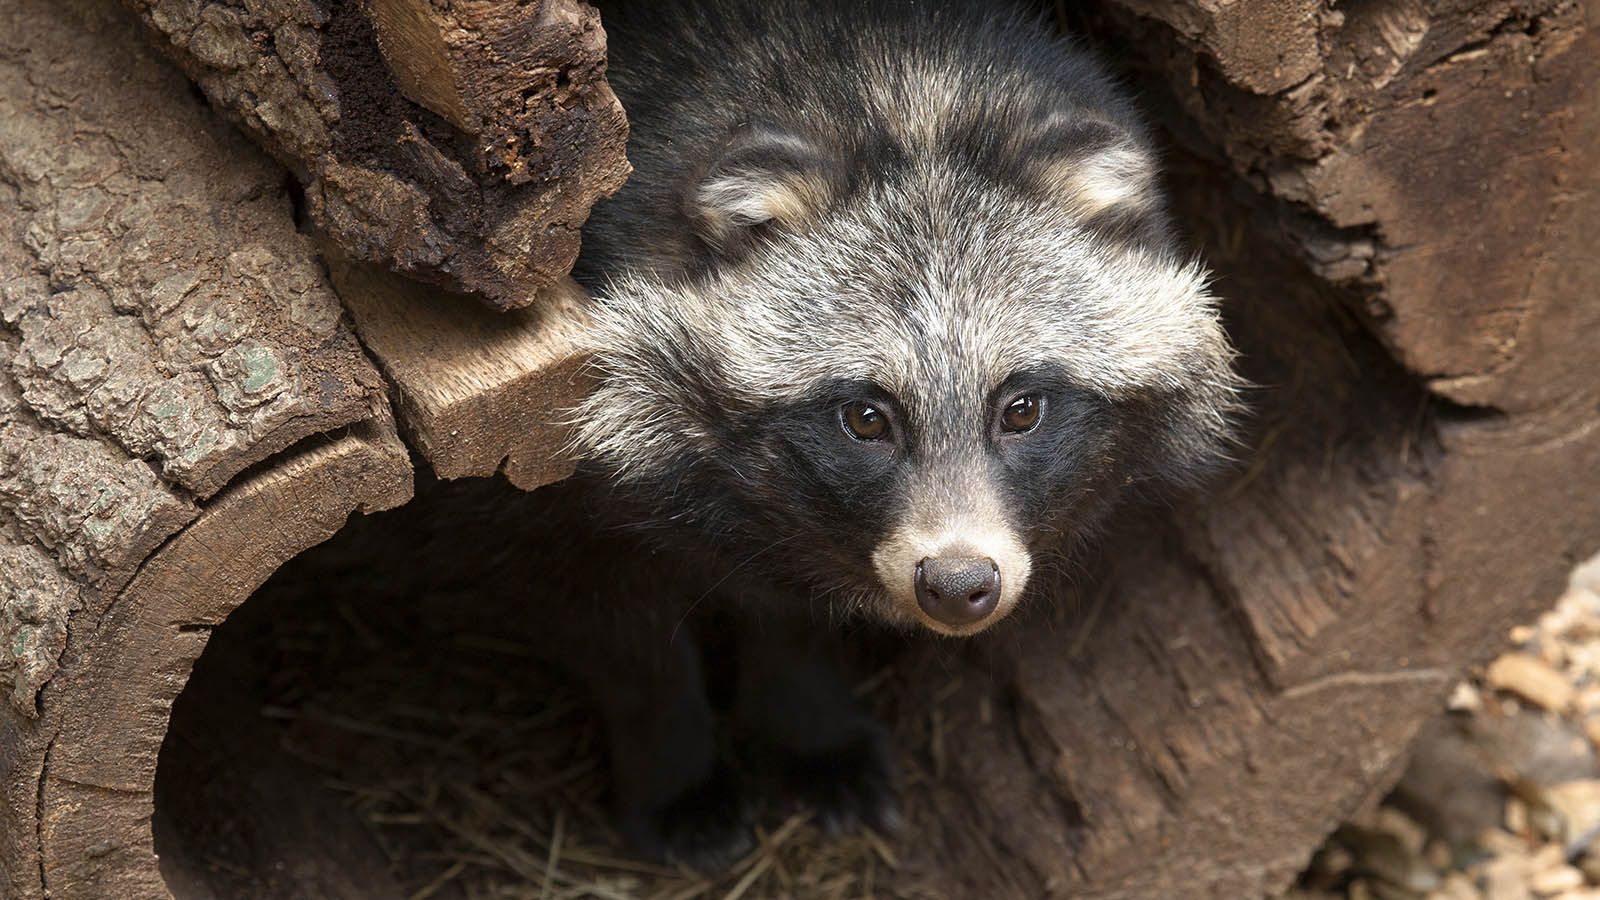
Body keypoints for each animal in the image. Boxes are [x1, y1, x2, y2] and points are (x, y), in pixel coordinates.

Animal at [524, 0, 1239, 868]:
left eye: (1021, 409)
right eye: (867, 418)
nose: (959, 585)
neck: (903, 90)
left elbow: (792, 618)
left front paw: (807, 724)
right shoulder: (547, 465)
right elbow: (620, 629)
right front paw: (673, 761)